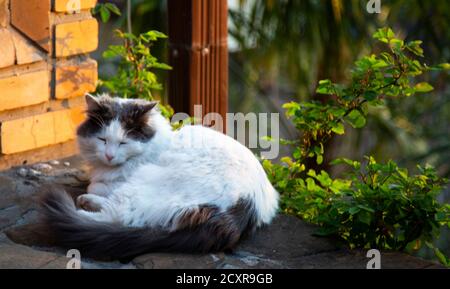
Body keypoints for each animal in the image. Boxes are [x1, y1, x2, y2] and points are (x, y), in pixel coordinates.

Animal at [39, 94, 278, 258]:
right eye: (102, 140)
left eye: (123, 142)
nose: (109, 155)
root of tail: (244, 207)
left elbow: (96, 185)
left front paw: (93, 186)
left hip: (143, 183)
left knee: (115, 216)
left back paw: (81, 206)